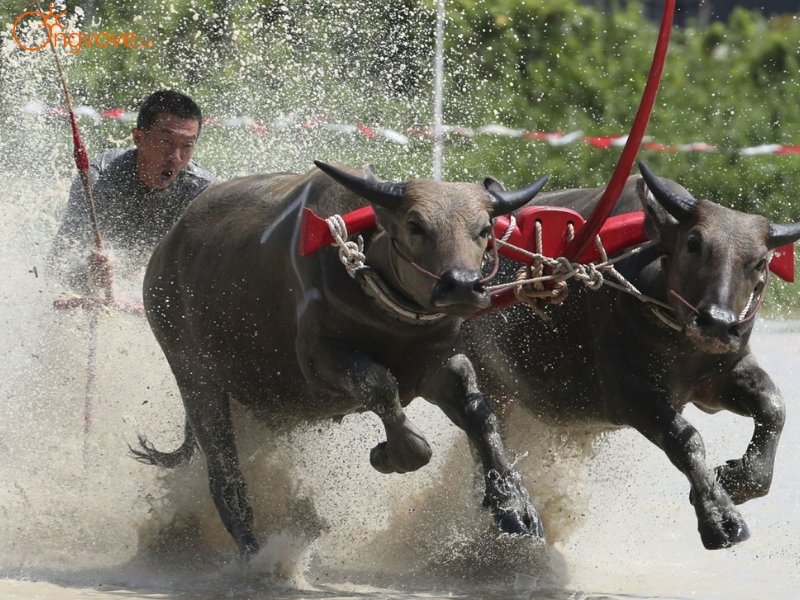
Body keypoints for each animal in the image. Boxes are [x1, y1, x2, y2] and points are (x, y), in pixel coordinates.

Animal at [136, 161, 552, 556]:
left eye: (484, 229)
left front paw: (516, 509)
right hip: (194, 377)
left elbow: (479, 414)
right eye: (415, 225)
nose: (463, 285)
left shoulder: (440, 364)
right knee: (226, 480)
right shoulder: (319, 363)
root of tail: (162, 256)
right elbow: (383, 389)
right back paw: (253, 554)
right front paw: (387, 455)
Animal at [466, 162, 800, 552]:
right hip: (486, 379)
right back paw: (506, 510)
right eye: (694, 243)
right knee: (484, 429)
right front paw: (720, 518)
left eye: (759, 261)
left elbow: (773, 407)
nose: (717, 322)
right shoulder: (627, 393)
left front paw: (733, 479)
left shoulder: (721, 376)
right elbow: (685, 437)